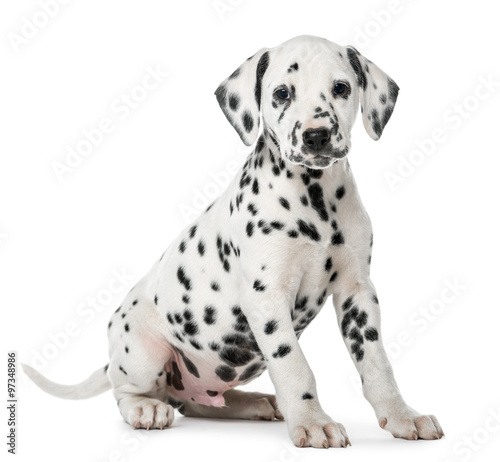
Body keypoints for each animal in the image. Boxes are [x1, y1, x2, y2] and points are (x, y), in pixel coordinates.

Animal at [24, 35, 446, 448]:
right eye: (281, 93)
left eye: (341, 87)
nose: (316, 136)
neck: (316, 199)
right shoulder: (267, 297)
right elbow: (294, 365)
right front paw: (312, 422)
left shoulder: (357, 292)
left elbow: (376, 362)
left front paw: (402, 414)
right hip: (144, 352)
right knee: (131, 393)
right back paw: (146, 409)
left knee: (198, 403)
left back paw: (254, 402)